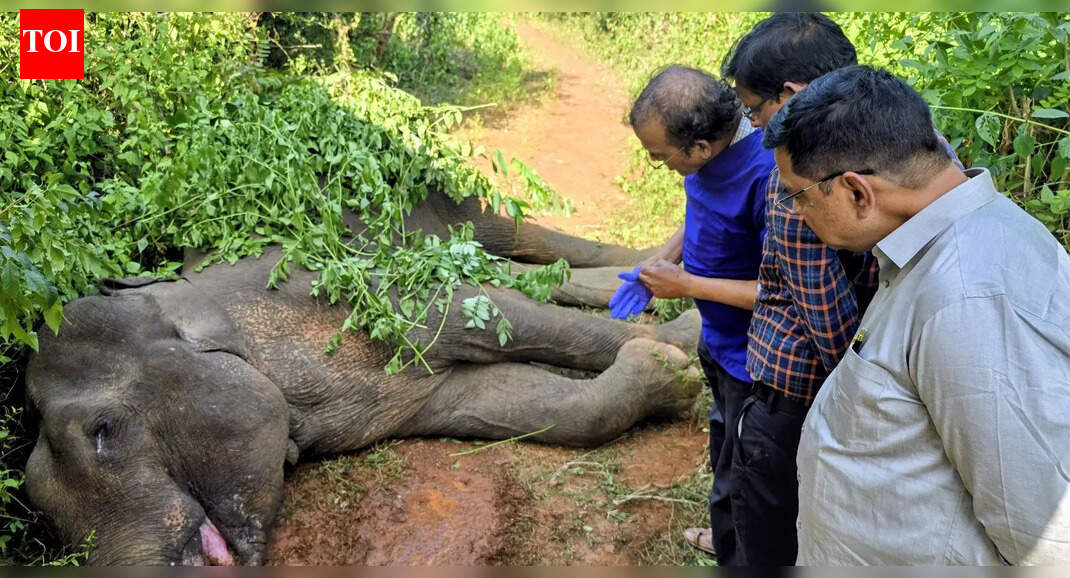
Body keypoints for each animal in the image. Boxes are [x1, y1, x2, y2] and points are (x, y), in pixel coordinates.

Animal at [25, 191, 702, 565]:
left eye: (103, 432)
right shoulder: (402, 401)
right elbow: (511, 400)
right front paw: (670, 367)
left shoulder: (343, 288)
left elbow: (482, 311)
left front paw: (684, 349)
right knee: (517, 266)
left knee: (514, 239)